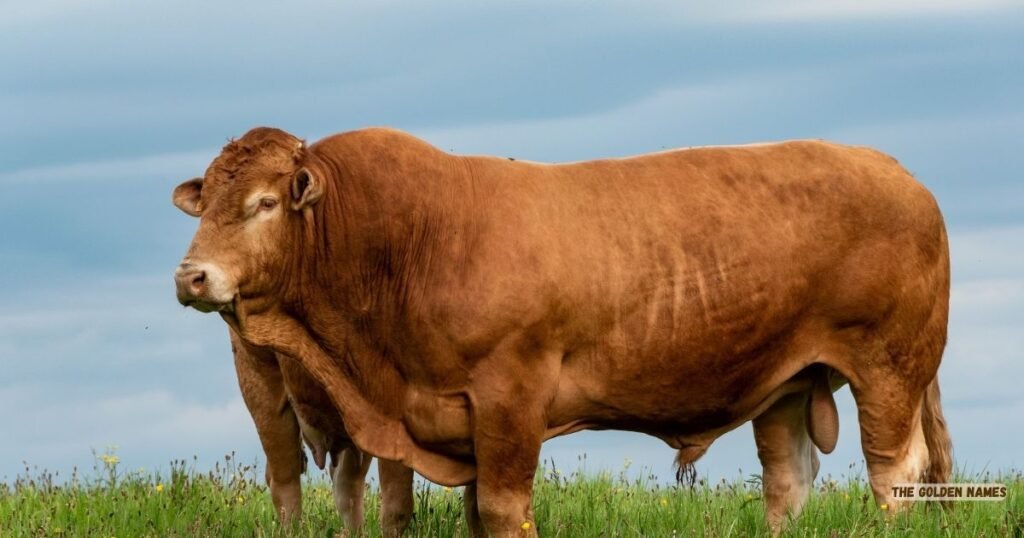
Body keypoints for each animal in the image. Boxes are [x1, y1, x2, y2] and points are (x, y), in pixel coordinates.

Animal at [172, 126, 951, 536]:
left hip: (890, 366)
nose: (191, 277)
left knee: (895, 471)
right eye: (204, 204)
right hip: (787, 383)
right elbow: (468, 510)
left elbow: (503, 508)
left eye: (265, 202)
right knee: (788, 478)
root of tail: (895, 168)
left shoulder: (510, 396)